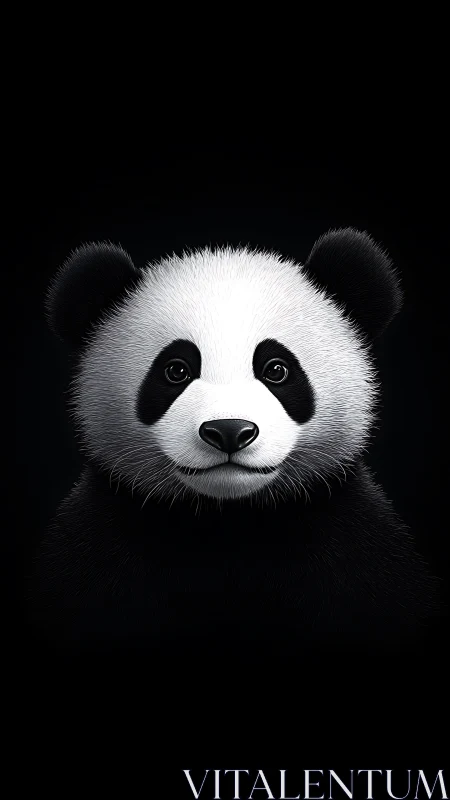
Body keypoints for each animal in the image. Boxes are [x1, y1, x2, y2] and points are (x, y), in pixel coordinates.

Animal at [29, 228, 438, 659]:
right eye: (175, 370)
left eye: (277, 369)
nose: (229, 431)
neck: (228, 521)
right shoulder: (100, 544)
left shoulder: (351, 544)